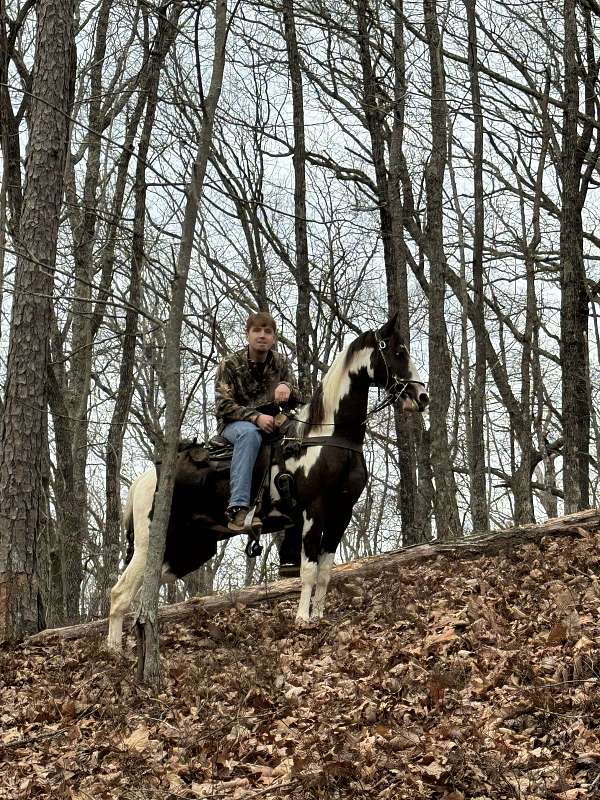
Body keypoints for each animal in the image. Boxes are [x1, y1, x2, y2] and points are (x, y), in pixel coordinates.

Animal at [106, 314, 426, 648]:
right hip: (150, 543)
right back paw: (115, 651)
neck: (326, 437)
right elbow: (309, 569)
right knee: (120, 593)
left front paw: (318, 617)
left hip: (190, 548)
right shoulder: (314, 510)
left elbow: (325, 570)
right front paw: (302, 620)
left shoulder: (342, 512)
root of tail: (143, 481)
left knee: (145, 591)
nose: (422, 397)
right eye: (399, 352)